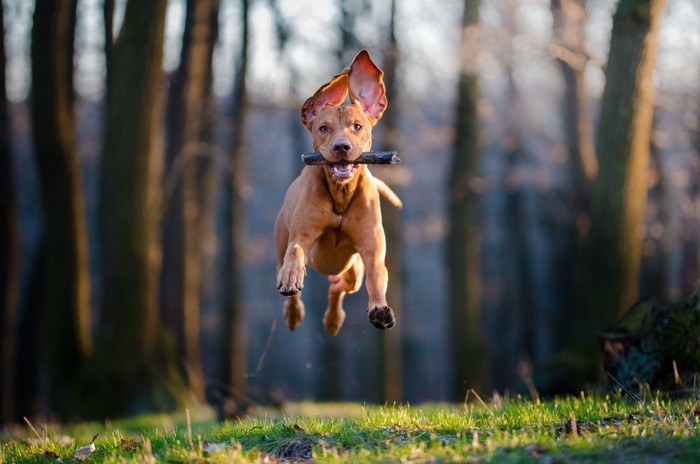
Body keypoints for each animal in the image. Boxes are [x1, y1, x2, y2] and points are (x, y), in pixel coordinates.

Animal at [274, 49, 402, 336]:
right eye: (323, 128)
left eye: (357, 126)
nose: (342, 146)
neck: (341, 193)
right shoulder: (301, 234)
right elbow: (295, 252)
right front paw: (291, 278)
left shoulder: (371, 250)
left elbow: (377, 275)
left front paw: (380, 309)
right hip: (282, 243)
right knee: (290, 267)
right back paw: (293, 311)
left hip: (352, 269)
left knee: (339, 286)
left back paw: (333, 318)